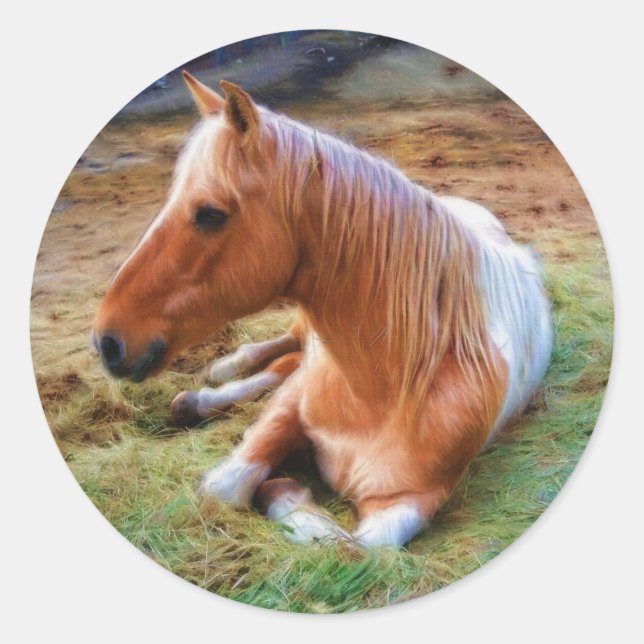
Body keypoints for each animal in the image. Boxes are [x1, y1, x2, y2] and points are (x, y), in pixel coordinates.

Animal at [92, 72, 553, 547]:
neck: (383, 390)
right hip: (301, 334)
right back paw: (219, 374)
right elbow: (227, 485)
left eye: (210, 214)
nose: (107, 341)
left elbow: (356, 548)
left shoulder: (407, 501)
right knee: (284, 351)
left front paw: (286, 491)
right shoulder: (290, 406)